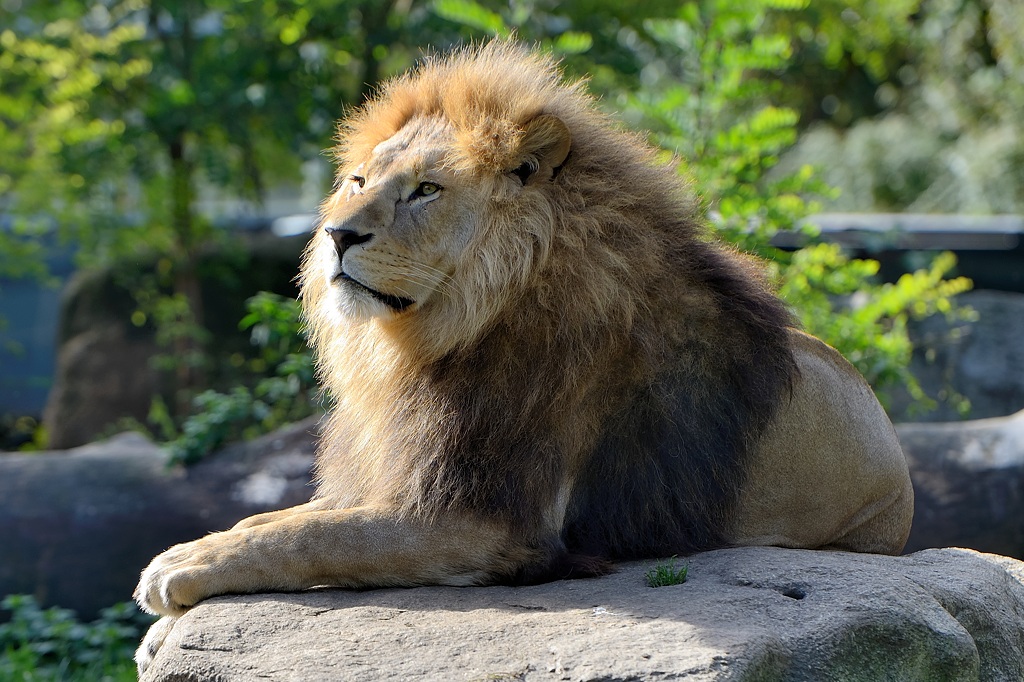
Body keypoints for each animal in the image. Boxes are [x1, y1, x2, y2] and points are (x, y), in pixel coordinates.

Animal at [135, 41, 913, 672]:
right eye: (358, 183)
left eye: (425, 190)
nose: (336, 235)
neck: (432, 336)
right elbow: (279, 521)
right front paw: (171, 612)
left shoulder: (482, 522)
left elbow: (314, 539)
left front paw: (180, 566)